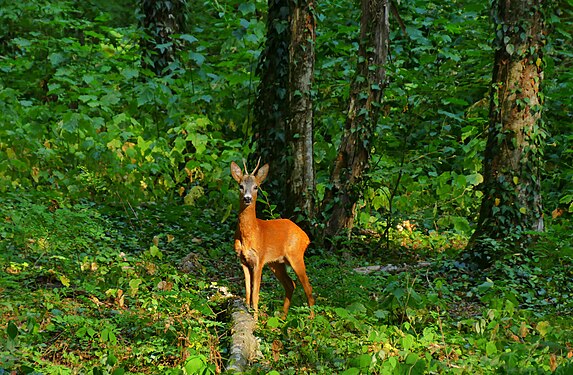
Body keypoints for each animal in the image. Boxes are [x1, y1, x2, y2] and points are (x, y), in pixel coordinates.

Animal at [230, 159, 316, 320]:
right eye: (240, 186)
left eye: (256, 187)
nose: (247, 198)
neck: (251, 232)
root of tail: (306, 237)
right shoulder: (243, 260)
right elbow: (248, 291)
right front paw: (248, 313)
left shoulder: (259, 259)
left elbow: (256, 293)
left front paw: (255, 319)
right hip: (277, 263)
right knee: (290, 284)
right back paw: (282, 318)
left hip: (296, 256)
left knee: (308, 286)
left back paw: (311, 319)